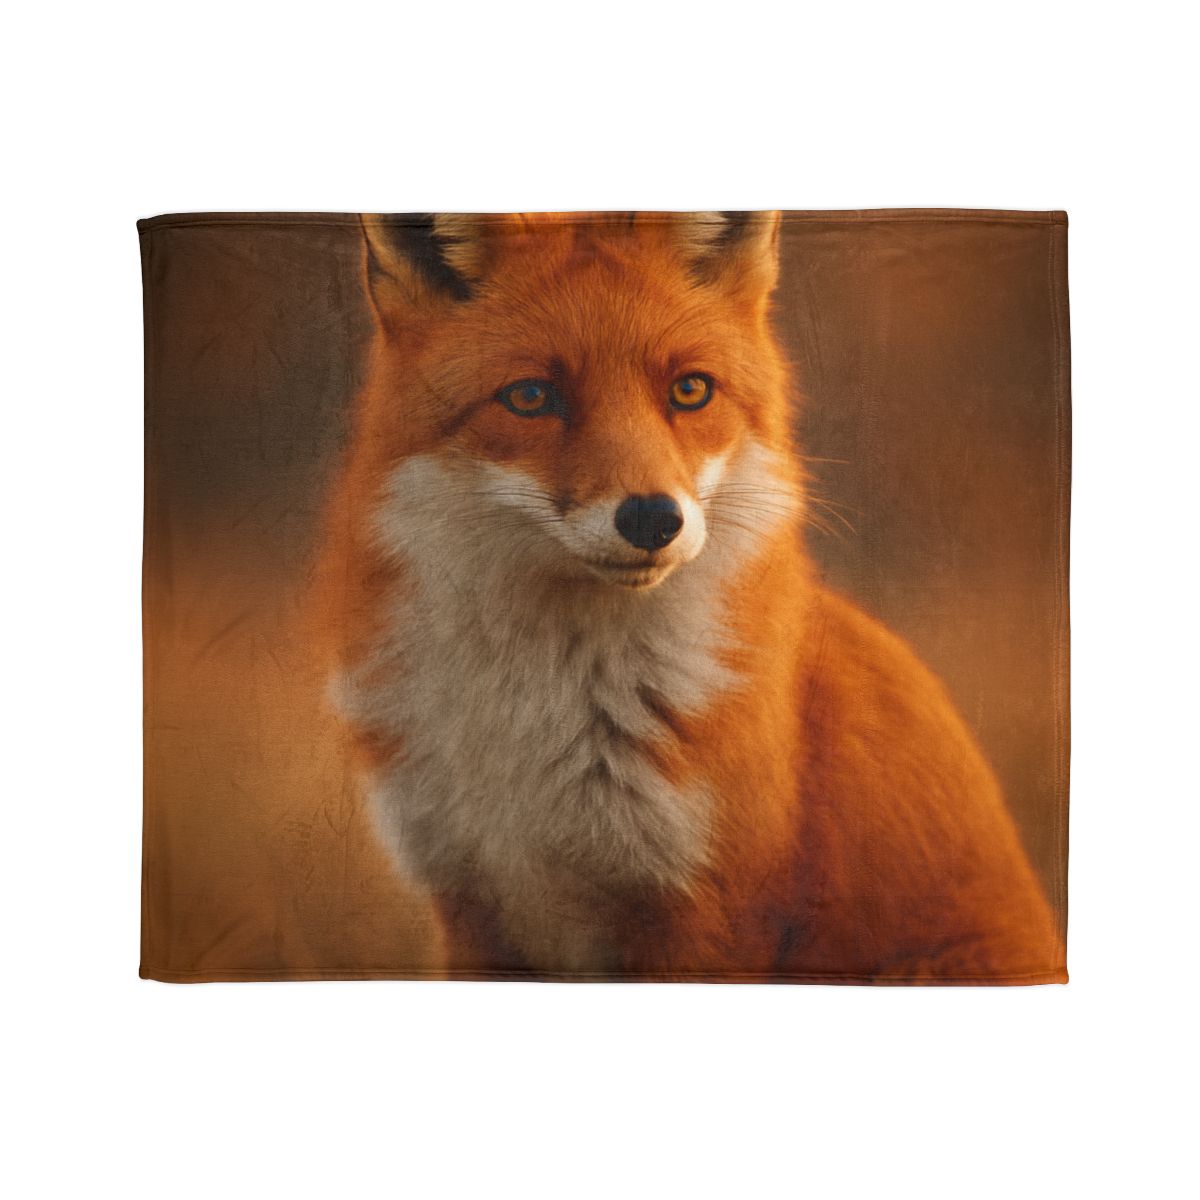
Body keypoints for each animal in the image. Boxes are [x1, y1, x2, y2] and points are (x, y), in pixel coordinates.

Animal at [315, 210, 1065, 983]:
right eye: (531, 397)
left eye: (690, 391)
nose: (652, 518)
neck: (544, 713)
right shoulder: (470, 902)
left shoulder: (709, 912)